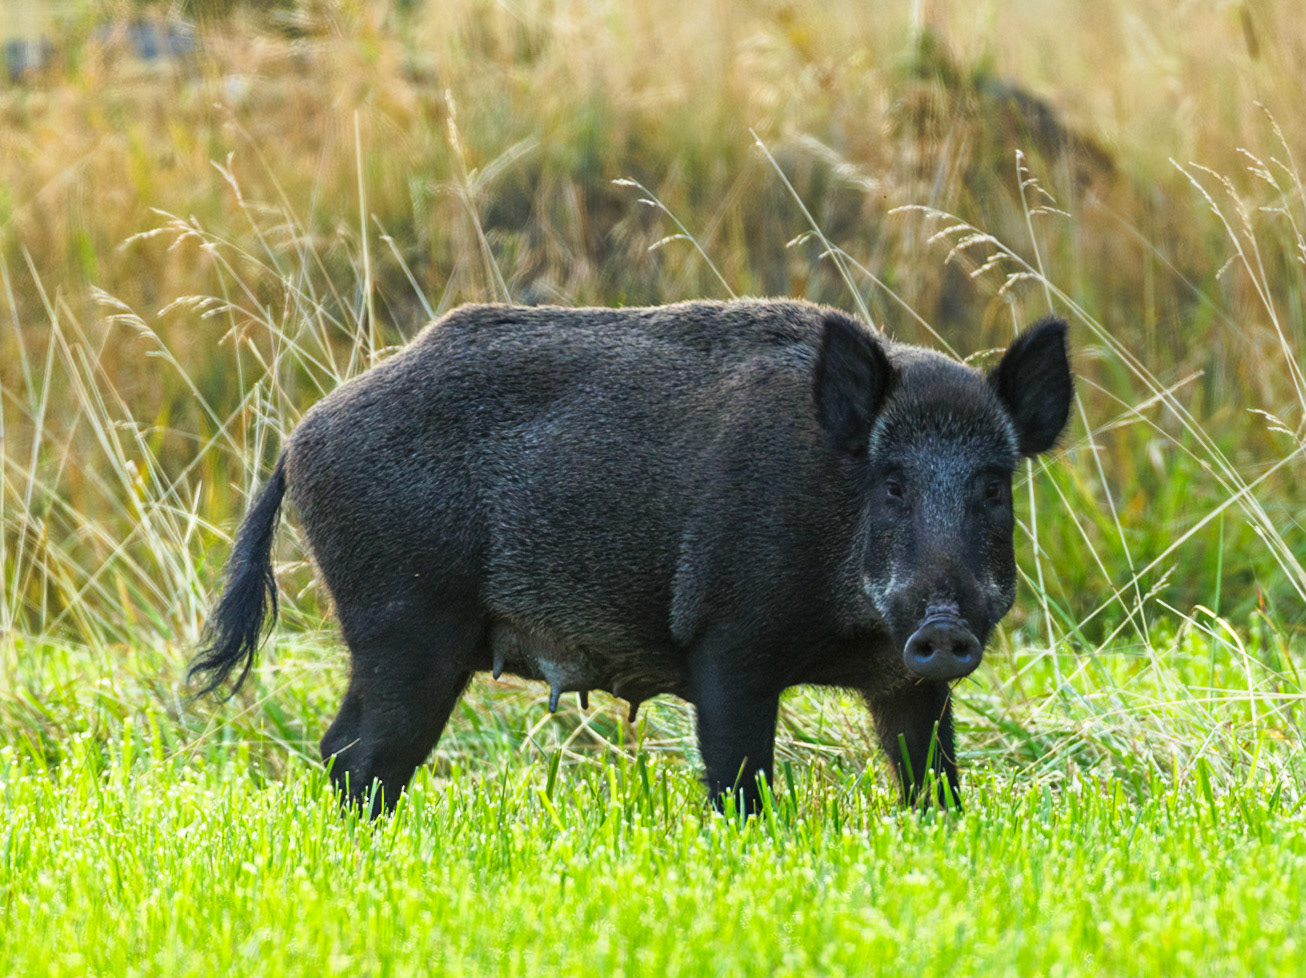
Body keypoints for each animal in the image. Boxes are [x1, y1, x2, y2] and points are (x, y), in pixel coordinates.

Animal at [190, 299, 1072, 816]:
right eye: (891, 483)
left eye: (994, 485)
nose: (945, 628)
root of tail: (300, 436)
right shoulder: (727, 642)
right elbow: (739, 779)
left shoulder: (907, 685)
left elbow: (933, 783)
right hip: (404, 620)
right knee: (360, 754)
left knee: (348, 750)